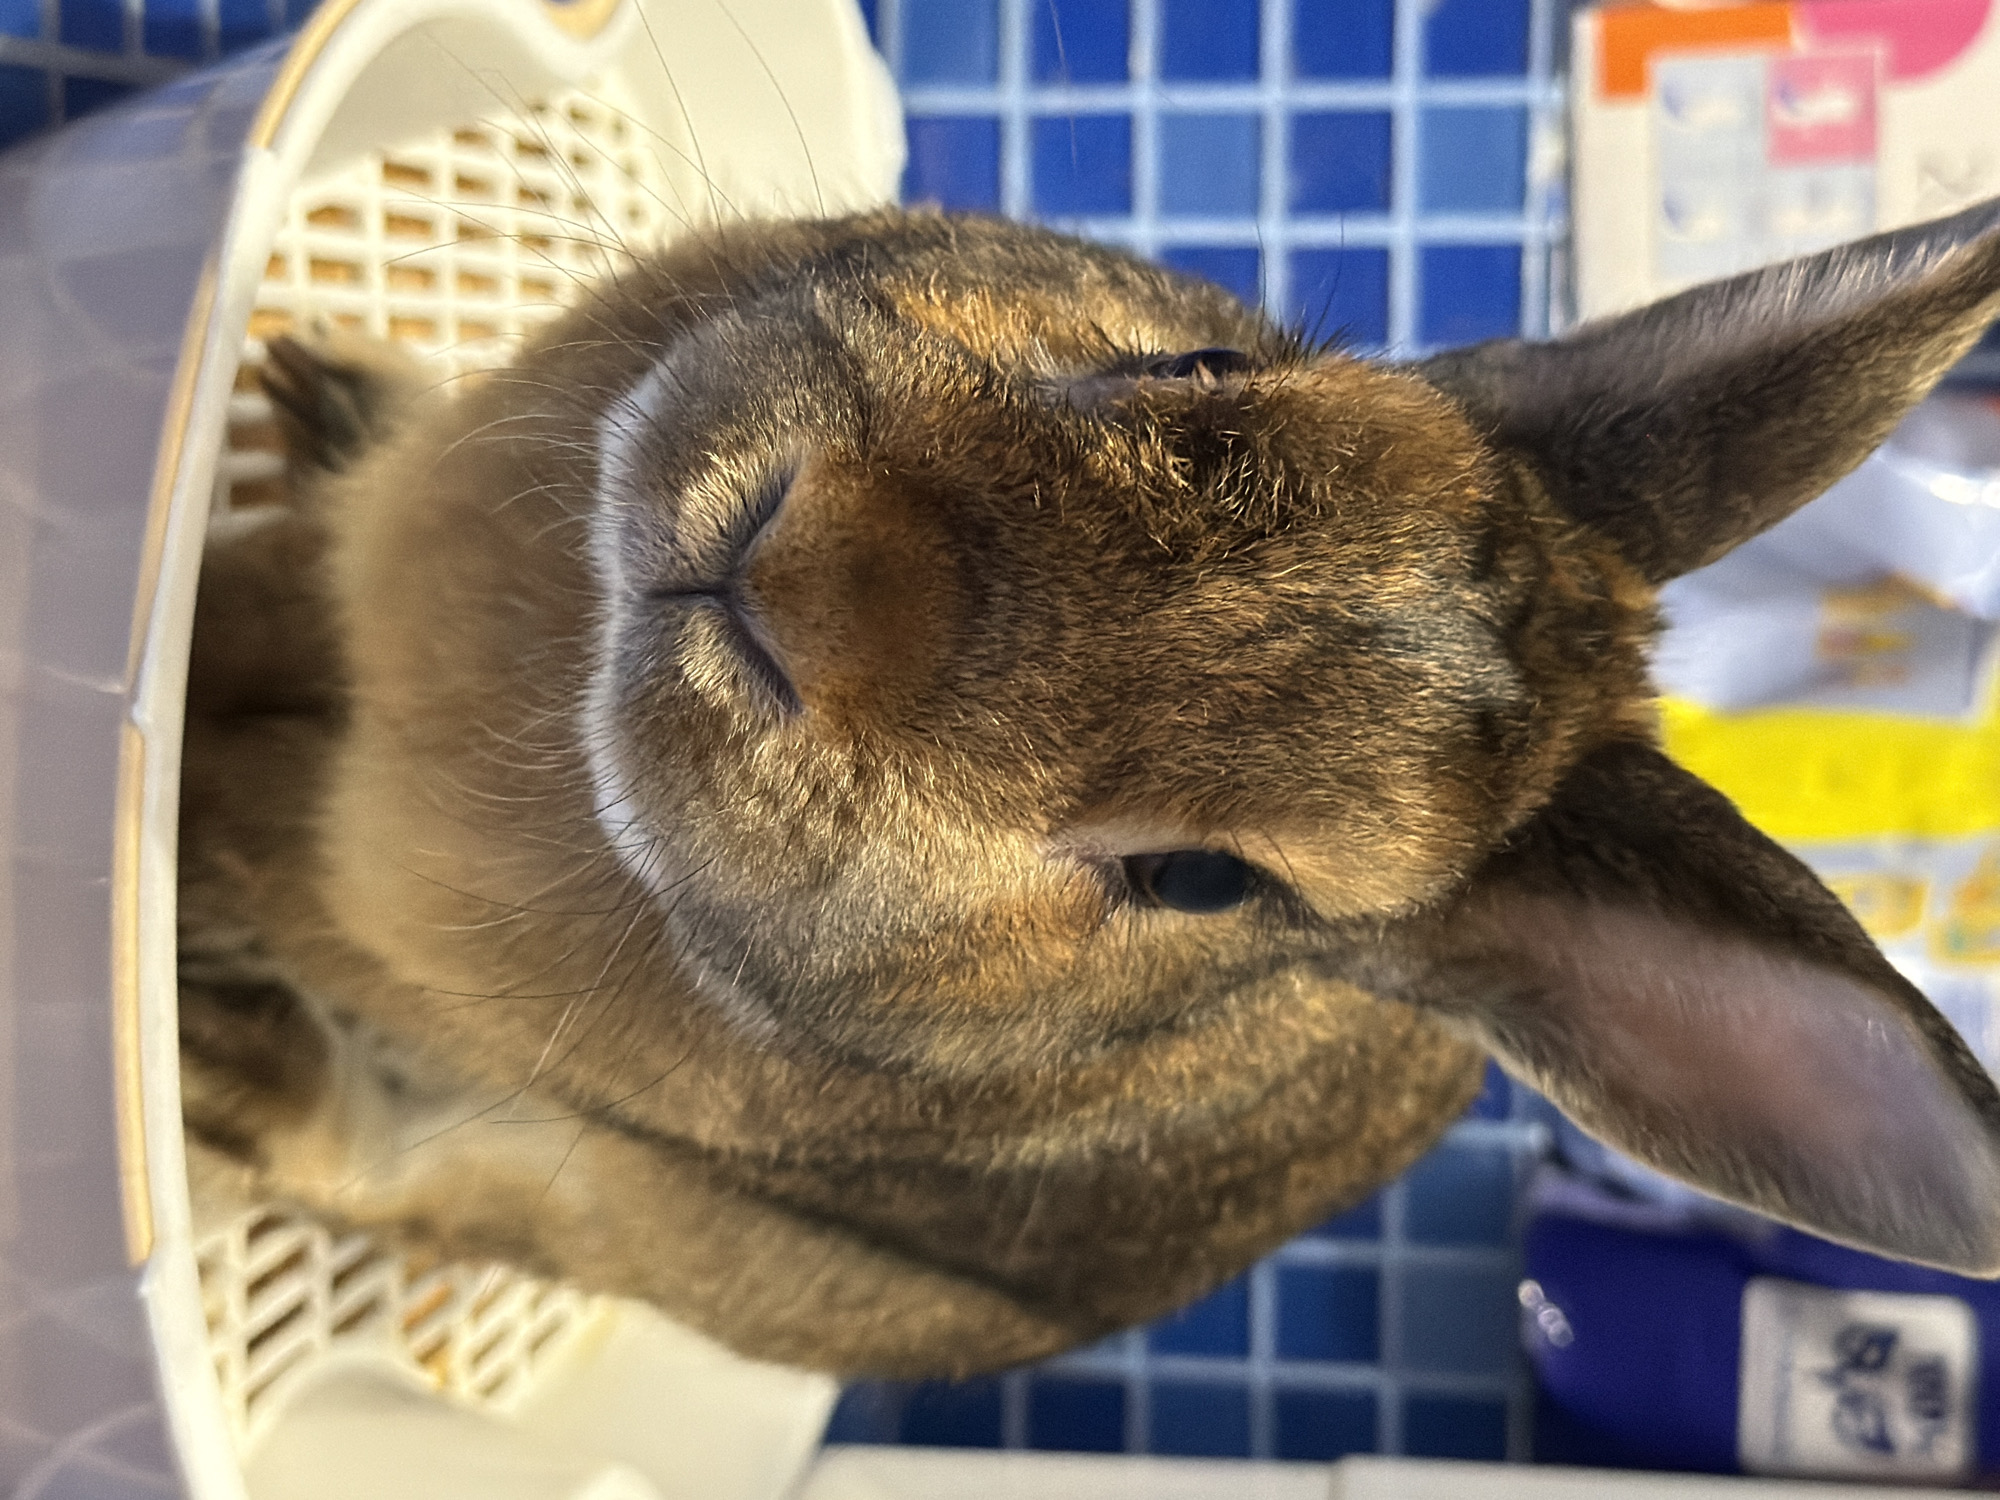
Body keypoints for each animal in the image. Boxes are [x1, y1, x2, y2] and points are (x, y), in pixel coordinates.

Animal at [178, 199, 2000, 1378]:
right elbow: (236, 611)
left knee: (415, 1186)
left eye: (1199, 881)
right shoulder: (334, 586)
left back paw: (215, 1065)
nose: (804, 580)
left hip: (643, 1226)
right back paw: (326, 383)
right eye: (1196, 369)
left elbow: (217, 795)